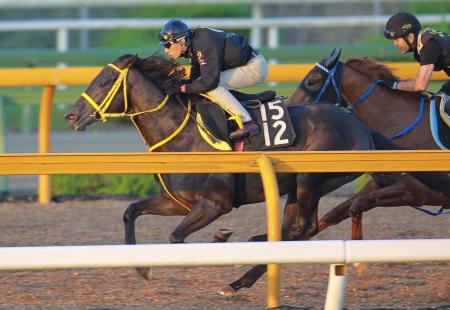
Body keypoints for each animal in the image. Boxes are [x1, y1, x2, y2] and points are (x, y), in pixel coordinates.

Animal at [290, 50, 448, 240]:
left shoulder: (417, 191)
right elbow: (337, 212)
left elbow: (358, 204)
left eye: (312, 81)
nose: (290, 106)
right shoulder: (379, 183)